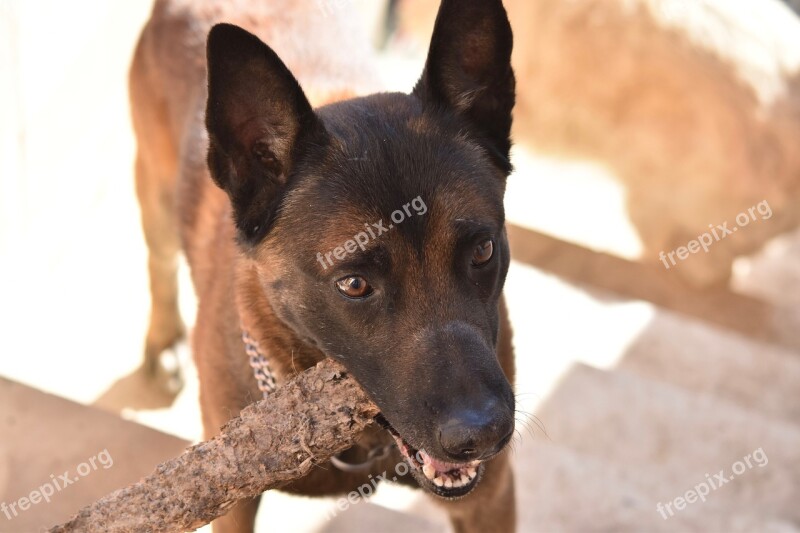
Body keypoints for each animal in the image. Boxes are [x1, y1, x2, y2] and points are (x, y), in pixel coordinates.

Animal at [130, 2, 520, 528]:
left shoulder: (491, 500)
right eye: (353, 284)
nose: (483, 436)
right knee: (159, 262)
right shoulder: (232, 508)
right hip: (155, 196)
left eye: (482, 251)